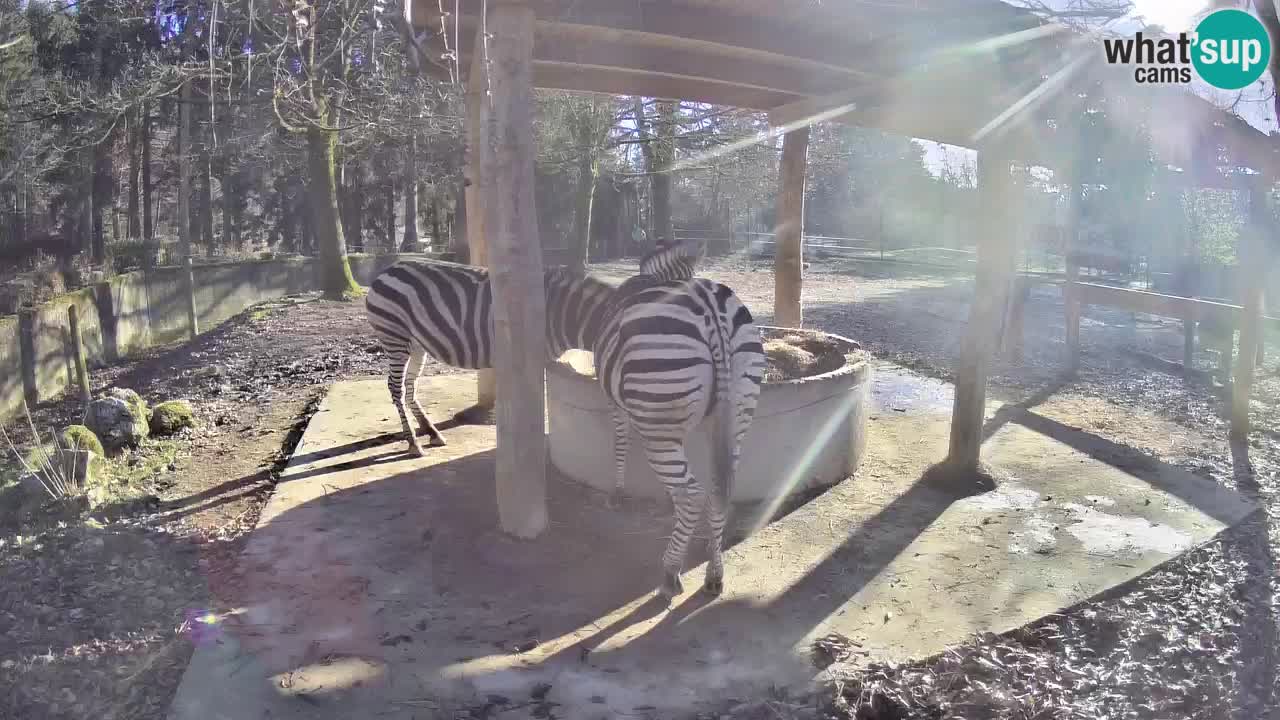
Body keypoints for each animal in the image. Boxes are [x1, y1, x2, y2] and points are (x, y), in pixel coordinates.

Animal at [363, 239, 701, 453]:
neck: (567, 313)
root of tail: (386, 271)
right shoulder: (533, 356)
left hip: (417, 343)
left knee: (409, 386)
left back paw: (431, 433)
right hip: (395, 336)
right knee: (395, 387)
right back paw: (413, 443)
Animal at [593, 245, 762, 599]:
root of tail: (711, 306)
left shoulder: (617, 403)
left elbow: (620, 442)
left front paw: (618, 492)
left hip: (658, 424)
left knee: (692, 494)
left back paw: (671, 572)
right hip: (738, 411)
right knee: (718, 491)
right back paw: (714, 574)